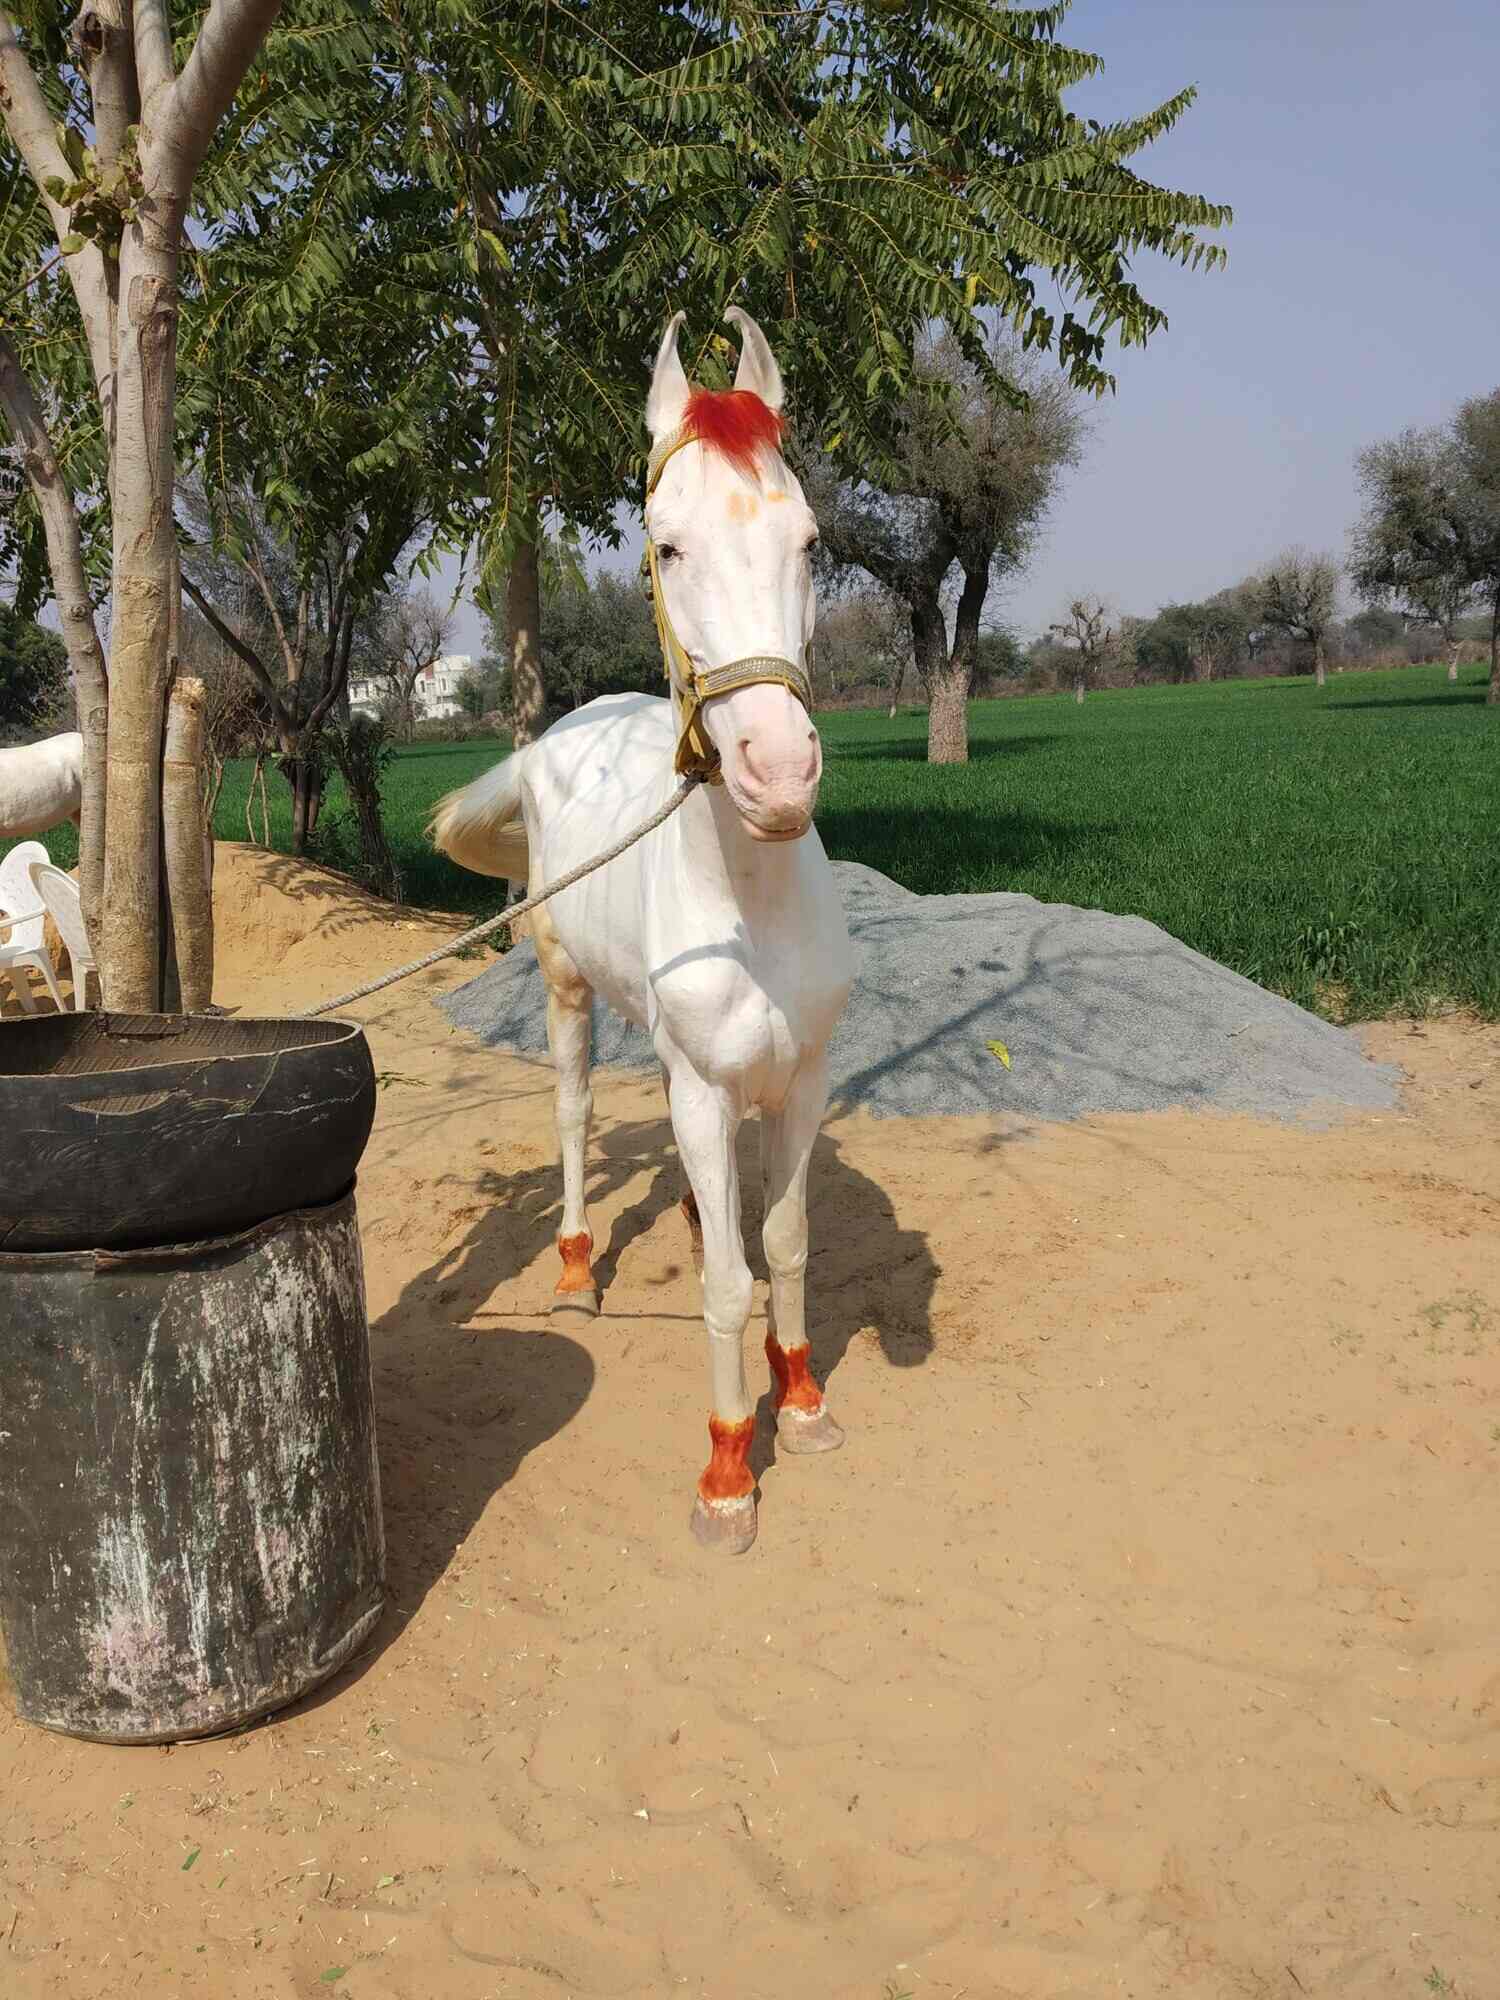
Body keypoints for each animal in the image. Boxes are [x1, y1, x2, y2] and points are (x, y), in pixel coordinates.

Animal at [432, 308, 854, 1553]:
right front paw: (728, 1472)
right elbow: (723, 1286)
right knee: (574, 1113)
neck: (753, 907)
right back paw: (576, 1267)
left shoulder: (800, 1078)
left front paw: (801, 1399)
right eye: (666, 548)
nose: (778, 773)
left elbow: (786, 1243)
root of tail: (554, 735)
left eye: (810, 540)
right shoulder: (708, 1091)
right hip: (568, 991)